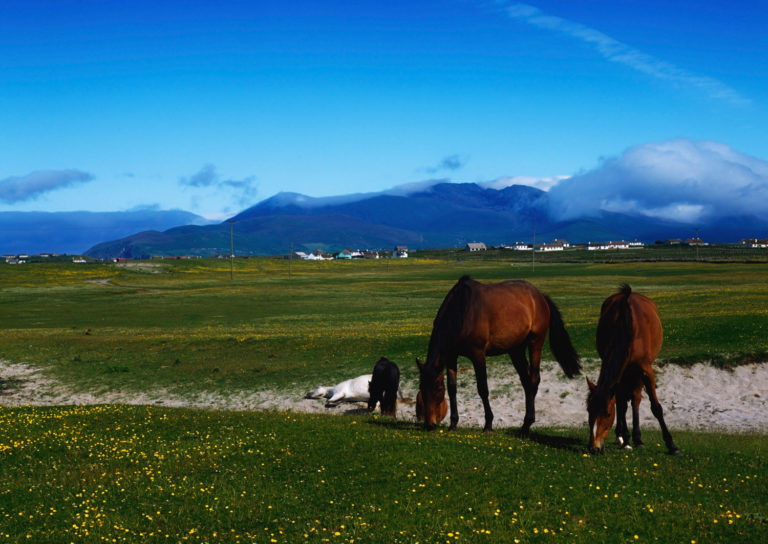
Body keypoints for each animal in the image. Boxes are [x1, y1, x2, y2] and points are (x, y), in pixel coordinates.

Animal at [417, 275, 581, 433]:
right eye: (421, 388)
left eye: (437, 389)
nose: (430, 424)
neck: (462, 311)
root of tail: (540, 296)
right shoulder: (452, 356)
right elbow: (452, 388)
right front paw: (453, 423)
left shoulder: (478, 355)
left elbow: (483, 388)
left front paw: (488, 424)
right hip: (516, 350)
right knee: (526, 381)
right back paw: (525, 425)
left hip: (535, 342)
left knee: (534, 379)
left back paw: (527, 423)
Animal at [587, 285, 681, 455]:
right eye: (589, 411)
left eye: (607, 414)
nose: (594, 448)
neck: (627, 326)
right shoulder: (620, 374)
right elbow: (621, 405)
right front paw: (626, 440)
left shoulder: (645, 369)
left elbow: (656, 407)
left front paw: (672, 445)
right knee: (624, 402)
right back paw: (623, 436)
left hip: (636, 372)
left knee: (636, 399)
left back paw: (638, 439)